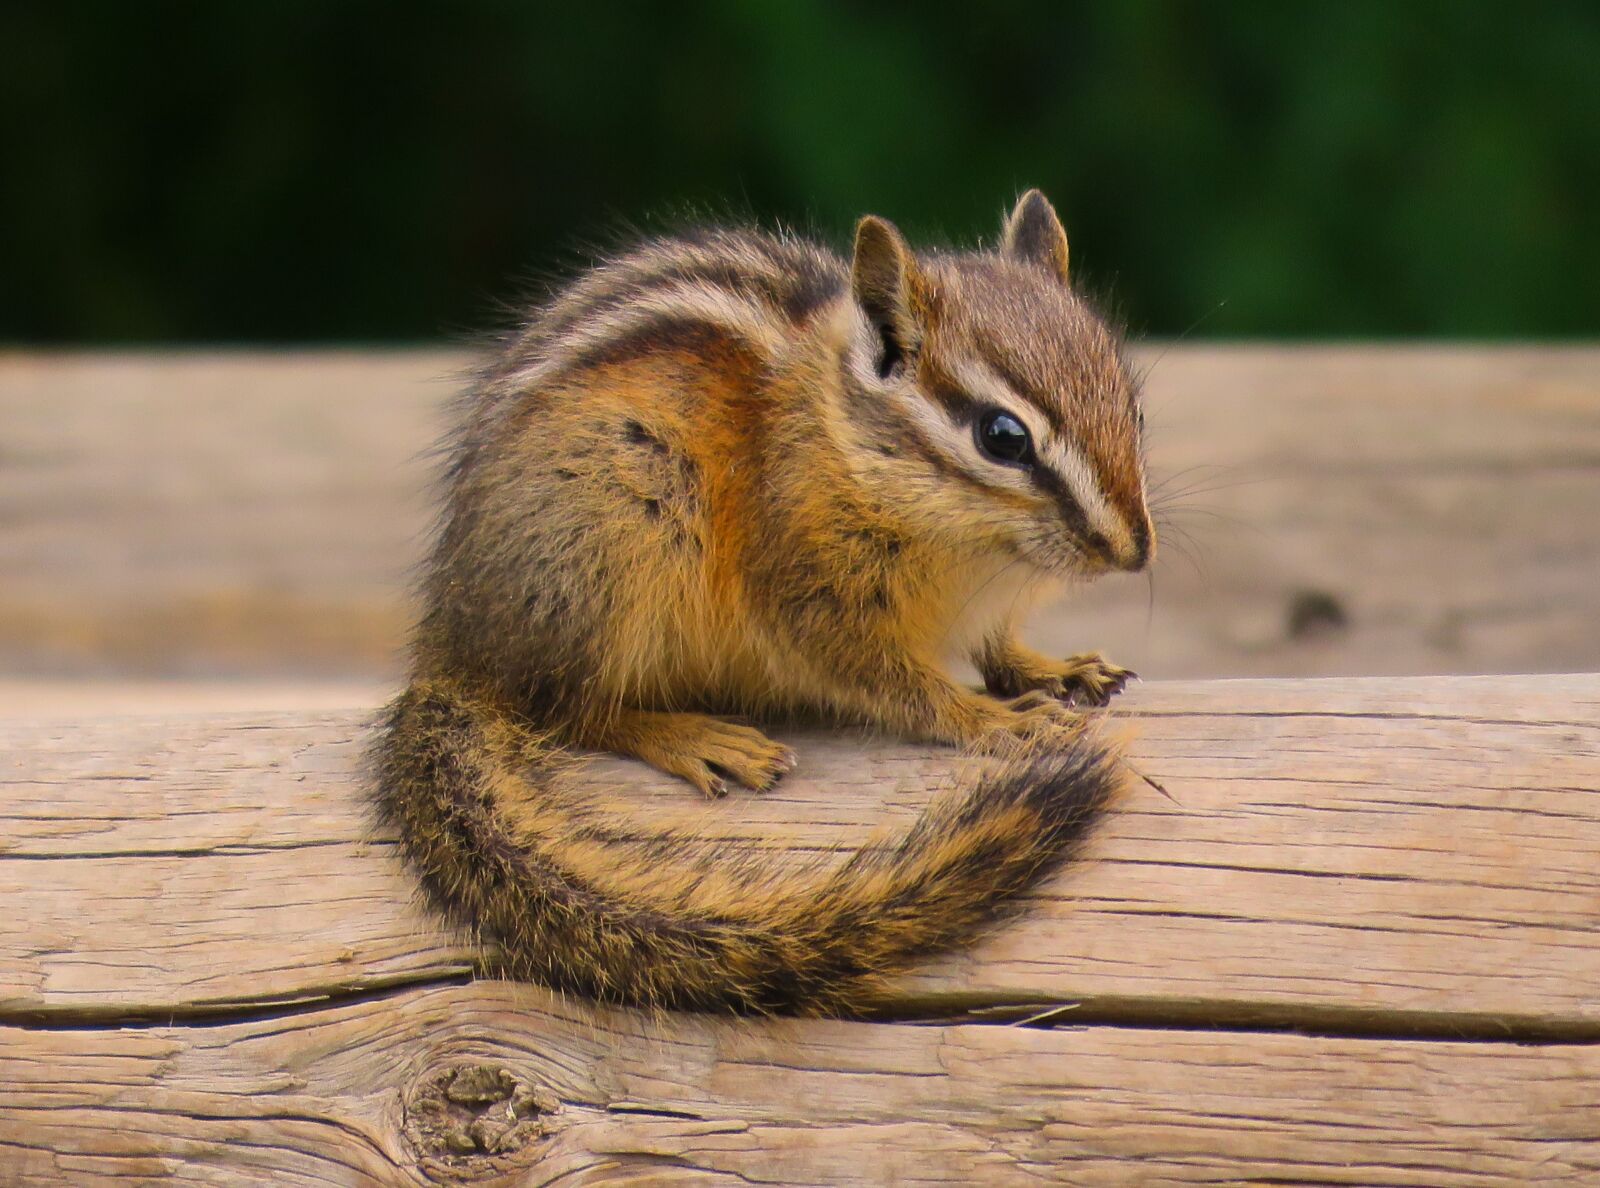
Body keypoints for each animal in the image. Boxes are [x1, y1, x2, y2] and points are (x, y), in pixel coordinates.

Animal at [371, 190, 1153, 1015]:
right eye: (1002, 436)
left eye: (1131, 408)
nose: (1134, 550)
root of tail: (455, 639)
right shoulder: (809, 596)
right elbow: (891, 683)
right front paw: (988, 719)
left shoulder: (989, 606)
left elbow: (999, 648)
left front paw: (1055, 669)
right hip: (616, 525)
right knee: (567, 707)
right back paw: (688, 736)